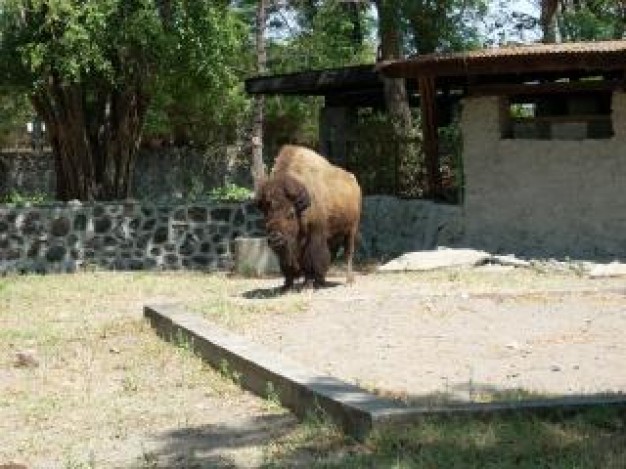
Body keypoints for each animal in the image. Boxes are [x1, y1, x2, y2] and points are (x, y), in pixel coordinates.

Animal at [254, 144, 360, 290]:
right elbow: (288, 264)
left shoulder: (314, 235)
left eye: (291, 214)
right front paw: (287, 286)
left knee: (348, 253)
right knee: (332, 255)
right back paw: (321, 281)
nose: (275, 238)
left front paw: (307, 285)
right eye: (266, 214)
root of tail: (353, 181)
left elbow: (310, 260)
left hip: (351, 230)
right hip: (334, 235)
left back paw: (348, 281)